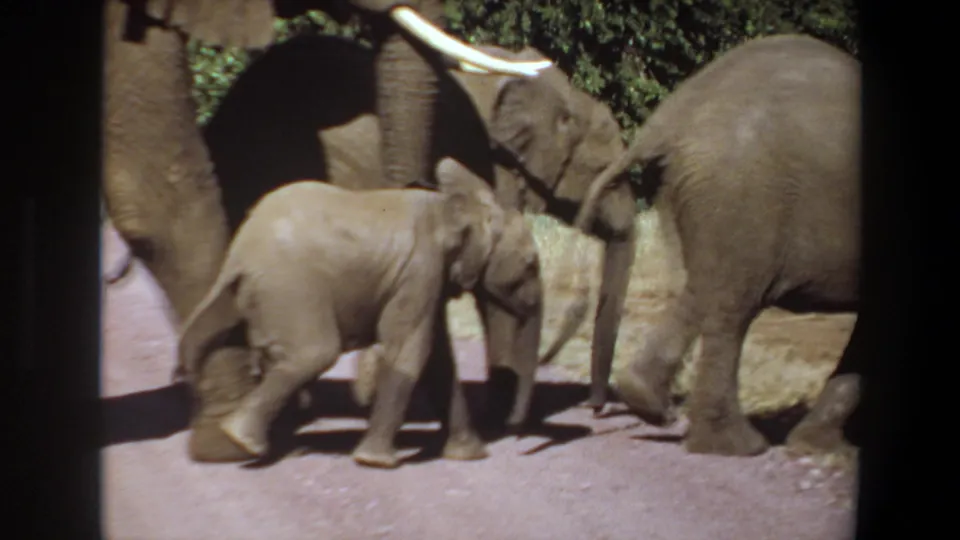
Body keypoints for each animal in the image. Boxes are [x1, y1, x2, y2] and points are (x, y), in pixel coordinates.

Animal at [177, 157, 544, 468]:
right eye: (530, 264)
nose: (516, 432)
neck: (448, 206)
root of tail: (238, 254)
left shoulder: (427, 280)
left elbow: (439, 360)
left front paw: (470, 456)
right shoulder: (419, 269)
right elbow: (411, 350)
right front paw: (375, 462)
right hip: (291, 288)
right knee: (314, 354)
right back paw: (243, 440)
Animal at [200, 34, 636, 426]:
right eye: (606, 174)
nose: (596, 408)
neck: (562, 94)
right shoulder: (491, 169)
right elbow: (489, 290)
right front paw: (497, 418)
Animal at [573, 34, 862, 457]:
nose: (595, 410)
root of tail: (671, 117)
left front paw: (816, 448)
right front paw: (830, 452)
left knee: (707, 288)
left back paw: (650, 402)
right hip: (743, 192)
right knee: (732, 304)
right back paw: (737, 446)